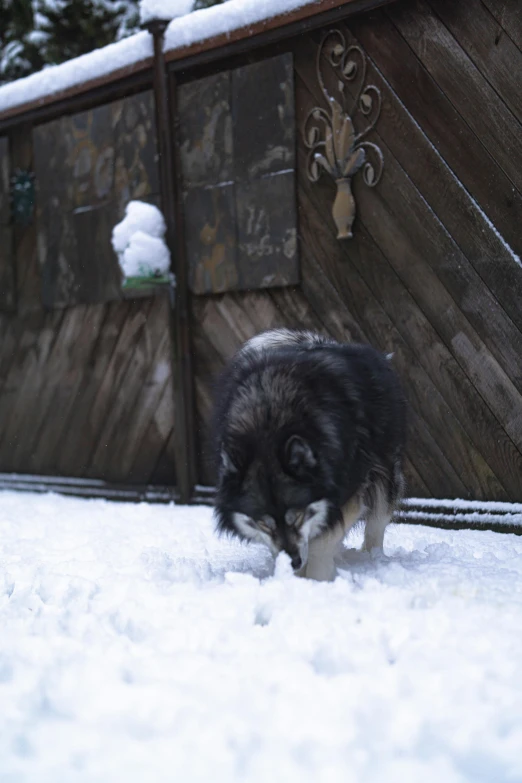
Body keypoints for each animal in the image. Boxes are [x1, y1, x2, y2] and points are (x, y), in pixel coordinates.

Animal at [211, 330, 406, 580]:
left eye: (297, 516)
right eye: (265, 524)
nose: (292, 562)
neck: (269, 418)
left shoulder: (346, 494)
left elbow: (320, 544)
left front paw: (316, 581)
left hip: (384, 474)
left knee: (377, 523)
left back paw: (373, 558)